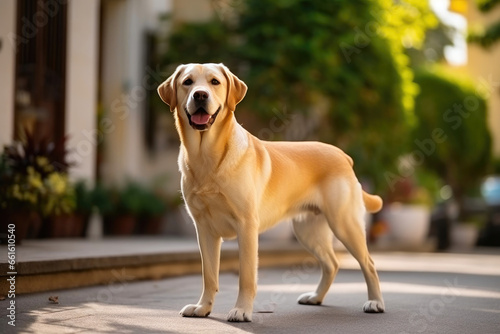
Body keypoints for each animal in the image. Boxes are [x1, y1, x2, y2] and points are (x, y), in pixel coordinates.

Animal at [158, 62, 384, 320]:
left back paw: (375, 302)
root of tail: (343, 155)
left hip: (344, 223)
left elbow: (246, 276)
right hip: (308, 231)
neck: (207, 156)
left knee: (369, 263)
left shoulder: (246, 226)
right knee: (332, 263)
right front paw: (203, 307)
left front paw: (242, 310)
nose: (200, 95)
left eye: (214, 82)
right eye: (188, 82)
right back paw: (316, 297)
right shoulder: (204, 229)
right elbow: (209, 275)